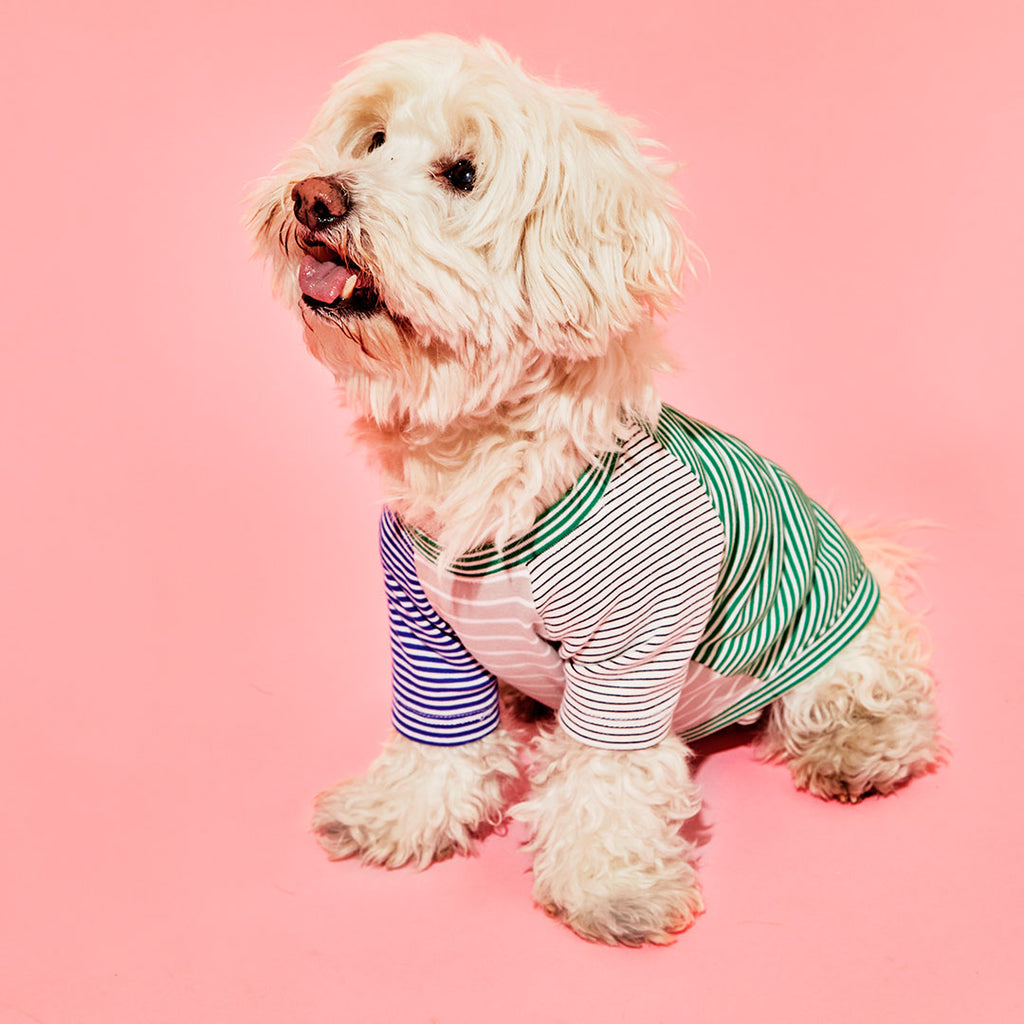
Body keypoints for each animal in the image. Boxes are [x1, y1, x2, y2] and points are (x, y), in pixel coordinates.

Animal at [249, 36, 942, 946]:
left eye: (462, 174)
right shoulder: (425, 629)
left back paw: (858, 748)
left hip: (820, 636)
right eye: (372, 140)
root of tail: (867, 561)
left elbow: (606, 776)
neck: (492, 462)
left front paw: (607, 885)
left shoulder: (632, 651)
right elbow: (439, 741)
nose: (314, 196)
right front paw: (400, 815)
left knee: (864, 695)